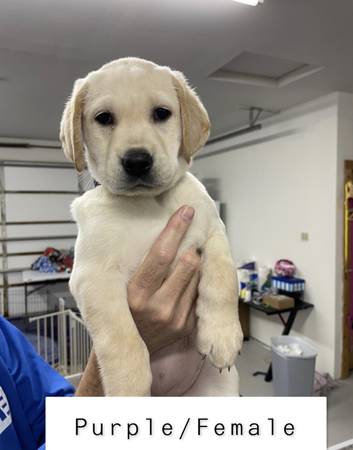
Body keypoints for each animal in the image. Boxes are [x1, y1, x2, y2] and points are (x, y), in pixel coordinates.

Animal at [60, 58, 242, 396]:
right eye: (104, 118)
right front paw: (128, 386)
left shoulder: (213, 231)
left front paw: (222, 333)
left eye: (161, 113)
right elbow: (122, 337)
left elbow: (223, 279)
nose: (137, 161)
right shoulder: (94, 278)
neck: (147, 204)